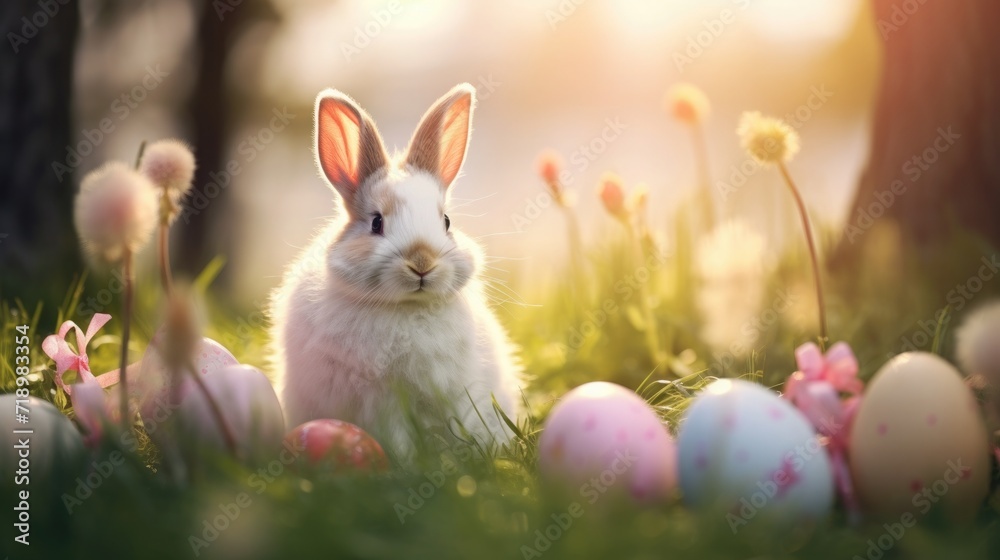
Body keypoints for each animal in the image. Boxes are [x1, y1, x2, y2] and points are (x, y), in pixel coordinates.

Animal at [270, 83, 524, 462]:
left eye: (446, 222)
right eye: (377, 223)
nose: (422, 262)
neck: (406, 308)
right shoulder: (382, 399)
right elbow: (397, 435)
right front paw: (406, 461)